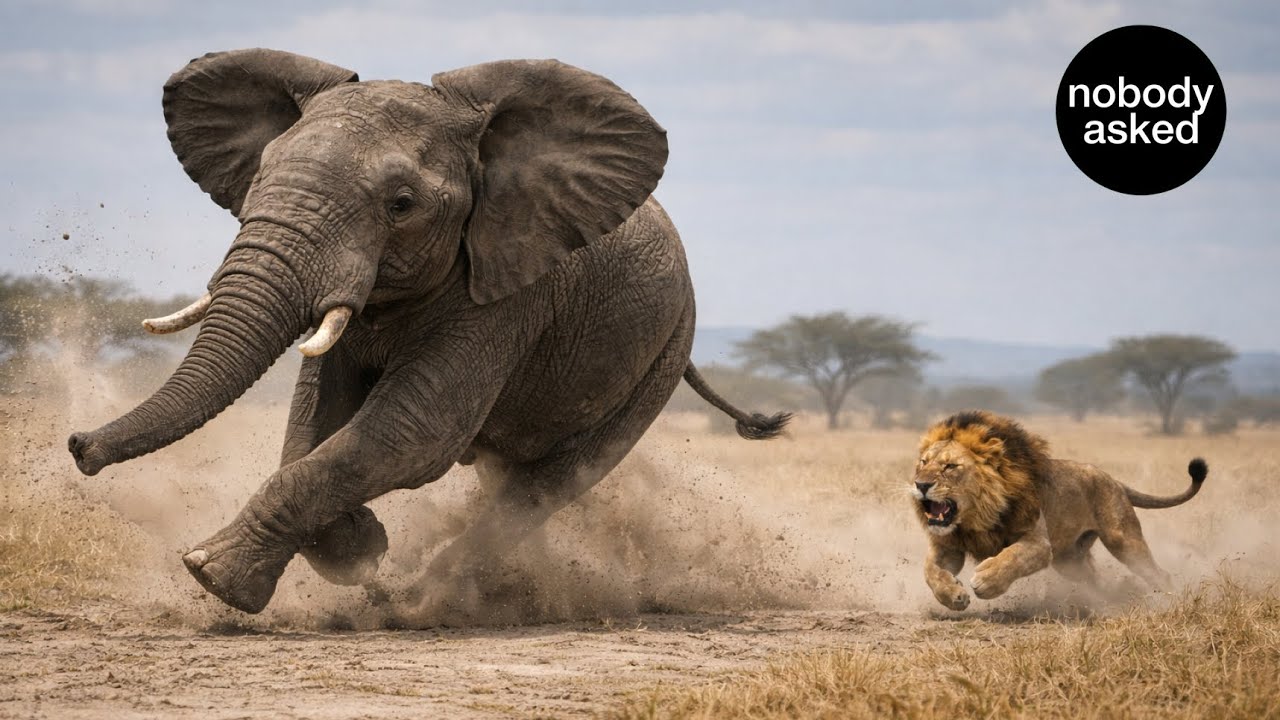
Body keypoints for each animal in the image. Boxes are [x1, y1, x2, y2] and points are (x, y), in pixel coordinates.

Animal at [66, 49, 790, 614]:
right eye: (258, 179)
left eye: (402, 205)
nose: (78, 446)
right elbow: (314, 419)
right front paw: (355, 546)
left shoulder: (511, 292)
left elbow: (414, 430)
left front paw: (214, 575)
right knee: (508, 477)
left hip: (661, 355)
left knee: (548, 484)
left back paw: (426, 599)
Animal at [913, 410, 1207, 610]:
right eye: (923, 463)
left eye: (950, 467)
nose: (921, 484)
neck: (975, 517)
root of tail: (1113, 479)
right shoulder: (948, 548)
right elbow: (929, 571)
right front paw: (953, 595)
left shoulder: (1040, 544)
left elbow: (1012, 557)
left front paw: (986, 581)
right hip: (1070, 561)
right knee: (1095, 577)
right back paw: (1103, 601)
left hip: (1122, 540)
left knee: (1158, 573)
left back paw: (1167, 602)